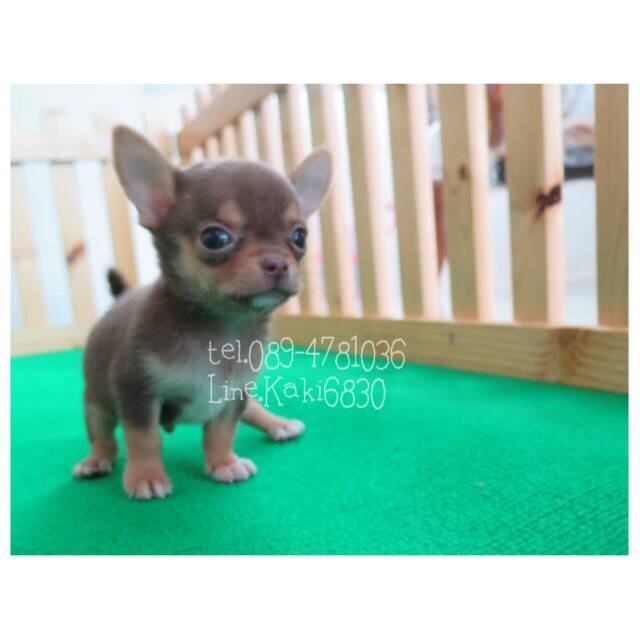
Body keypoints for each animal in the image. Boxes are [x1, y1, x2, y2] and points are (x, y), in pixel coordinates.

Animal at [72, 125, 331, 499]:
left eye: (300, 237)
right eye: (214, 238)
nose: (278, 263)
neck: (223, 330)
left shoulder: (233, 393)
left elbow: (222, 432)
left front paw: (224, 463)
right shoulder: (136, 391)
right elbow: (143, 438)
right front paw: (146, 476)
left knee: (252, 410)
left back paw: (278, 424)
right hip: (98, 401)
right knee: (103, 435)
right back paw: (95, 461)